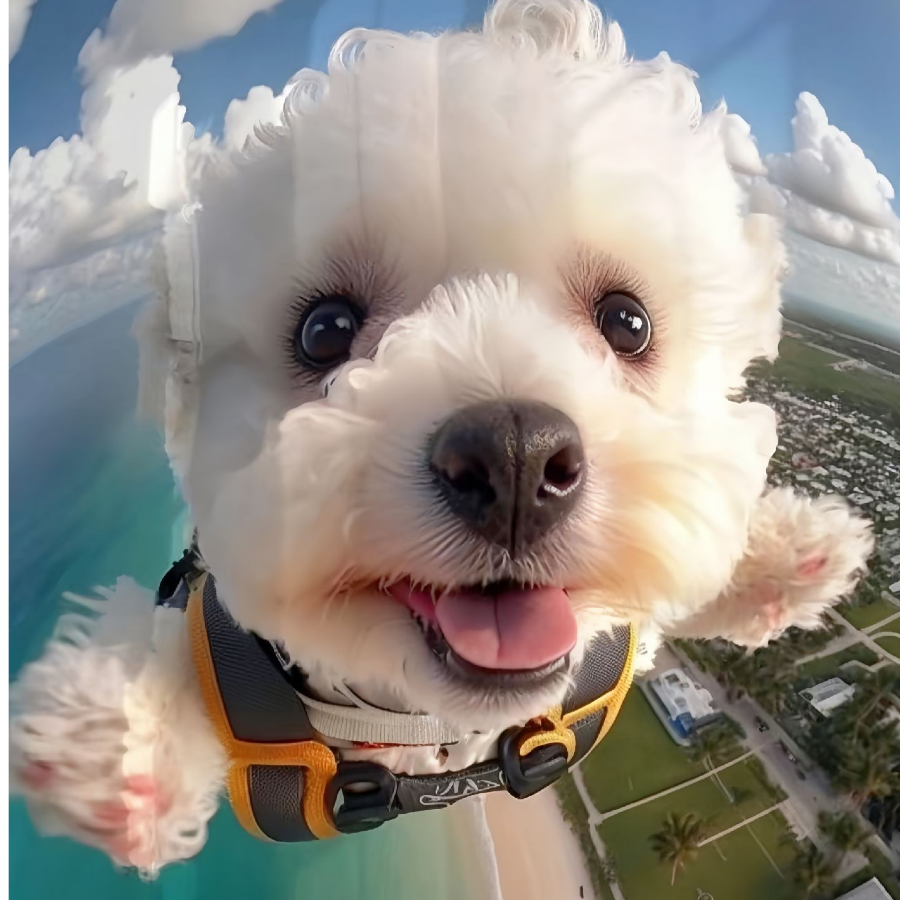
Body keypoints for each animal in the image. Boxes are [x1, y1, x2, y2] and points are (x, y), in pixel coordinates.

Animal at [8, 0, 872, 872]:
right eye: (324, 331)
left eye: (627, 322)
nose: (517, 456)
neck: (433, 729)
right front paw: (116, 738)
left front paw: (790, 556)